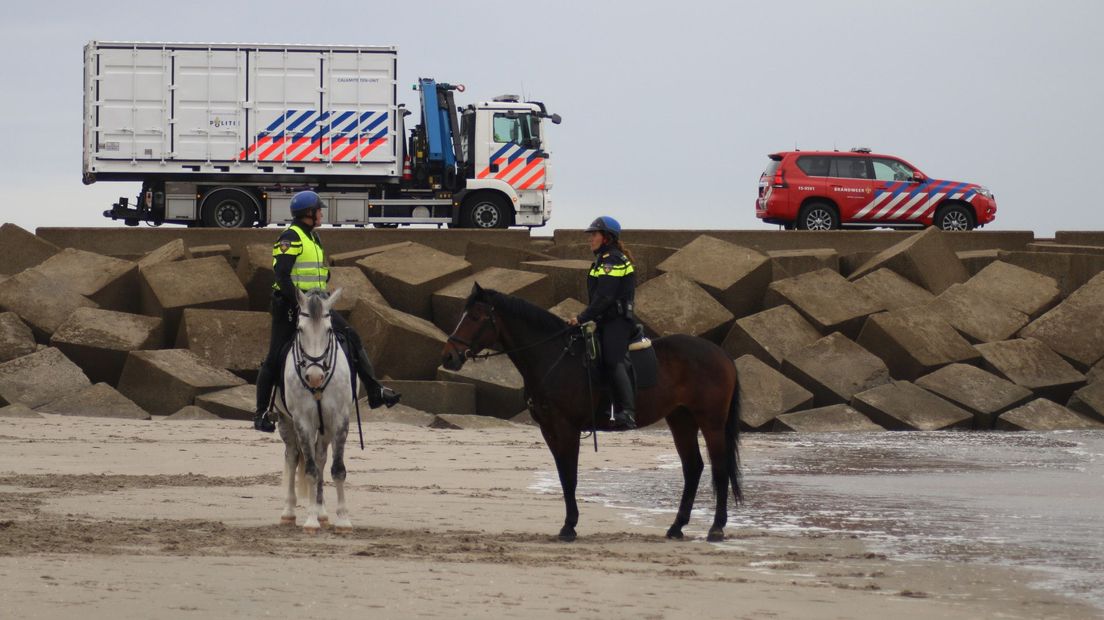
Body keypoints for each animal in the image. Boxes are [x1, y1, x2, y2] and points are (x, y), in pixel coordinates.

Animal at [271, 286, 353, 531]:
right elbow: (309, 471)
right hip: (286, 423)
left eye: (329, 330)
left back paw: (322, 512)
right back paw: (289, 512)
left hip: (324, 428)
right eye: (299, 329)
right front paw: (310, 520)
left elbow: (337, 469)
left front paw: (343, 519)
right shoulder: (302, 422)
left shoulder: (340, 420)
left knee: (321, 458)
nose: (315, 377)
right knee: (292, 457)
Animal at [441, 284, 741, 540]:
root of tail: (720, 353)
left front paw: (569, 526)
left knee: (719, 468)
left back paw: (716, 528)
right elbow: (564, 476)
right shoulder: (549, 429)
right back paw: (677, 526)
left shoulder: (567, 428)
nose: (449, 356)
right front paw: (569, 523)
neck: (554, 357)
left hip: (711, 422)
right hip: (681, 419)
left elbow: (570, 476)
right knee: (693, 467)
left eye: (476, 317)